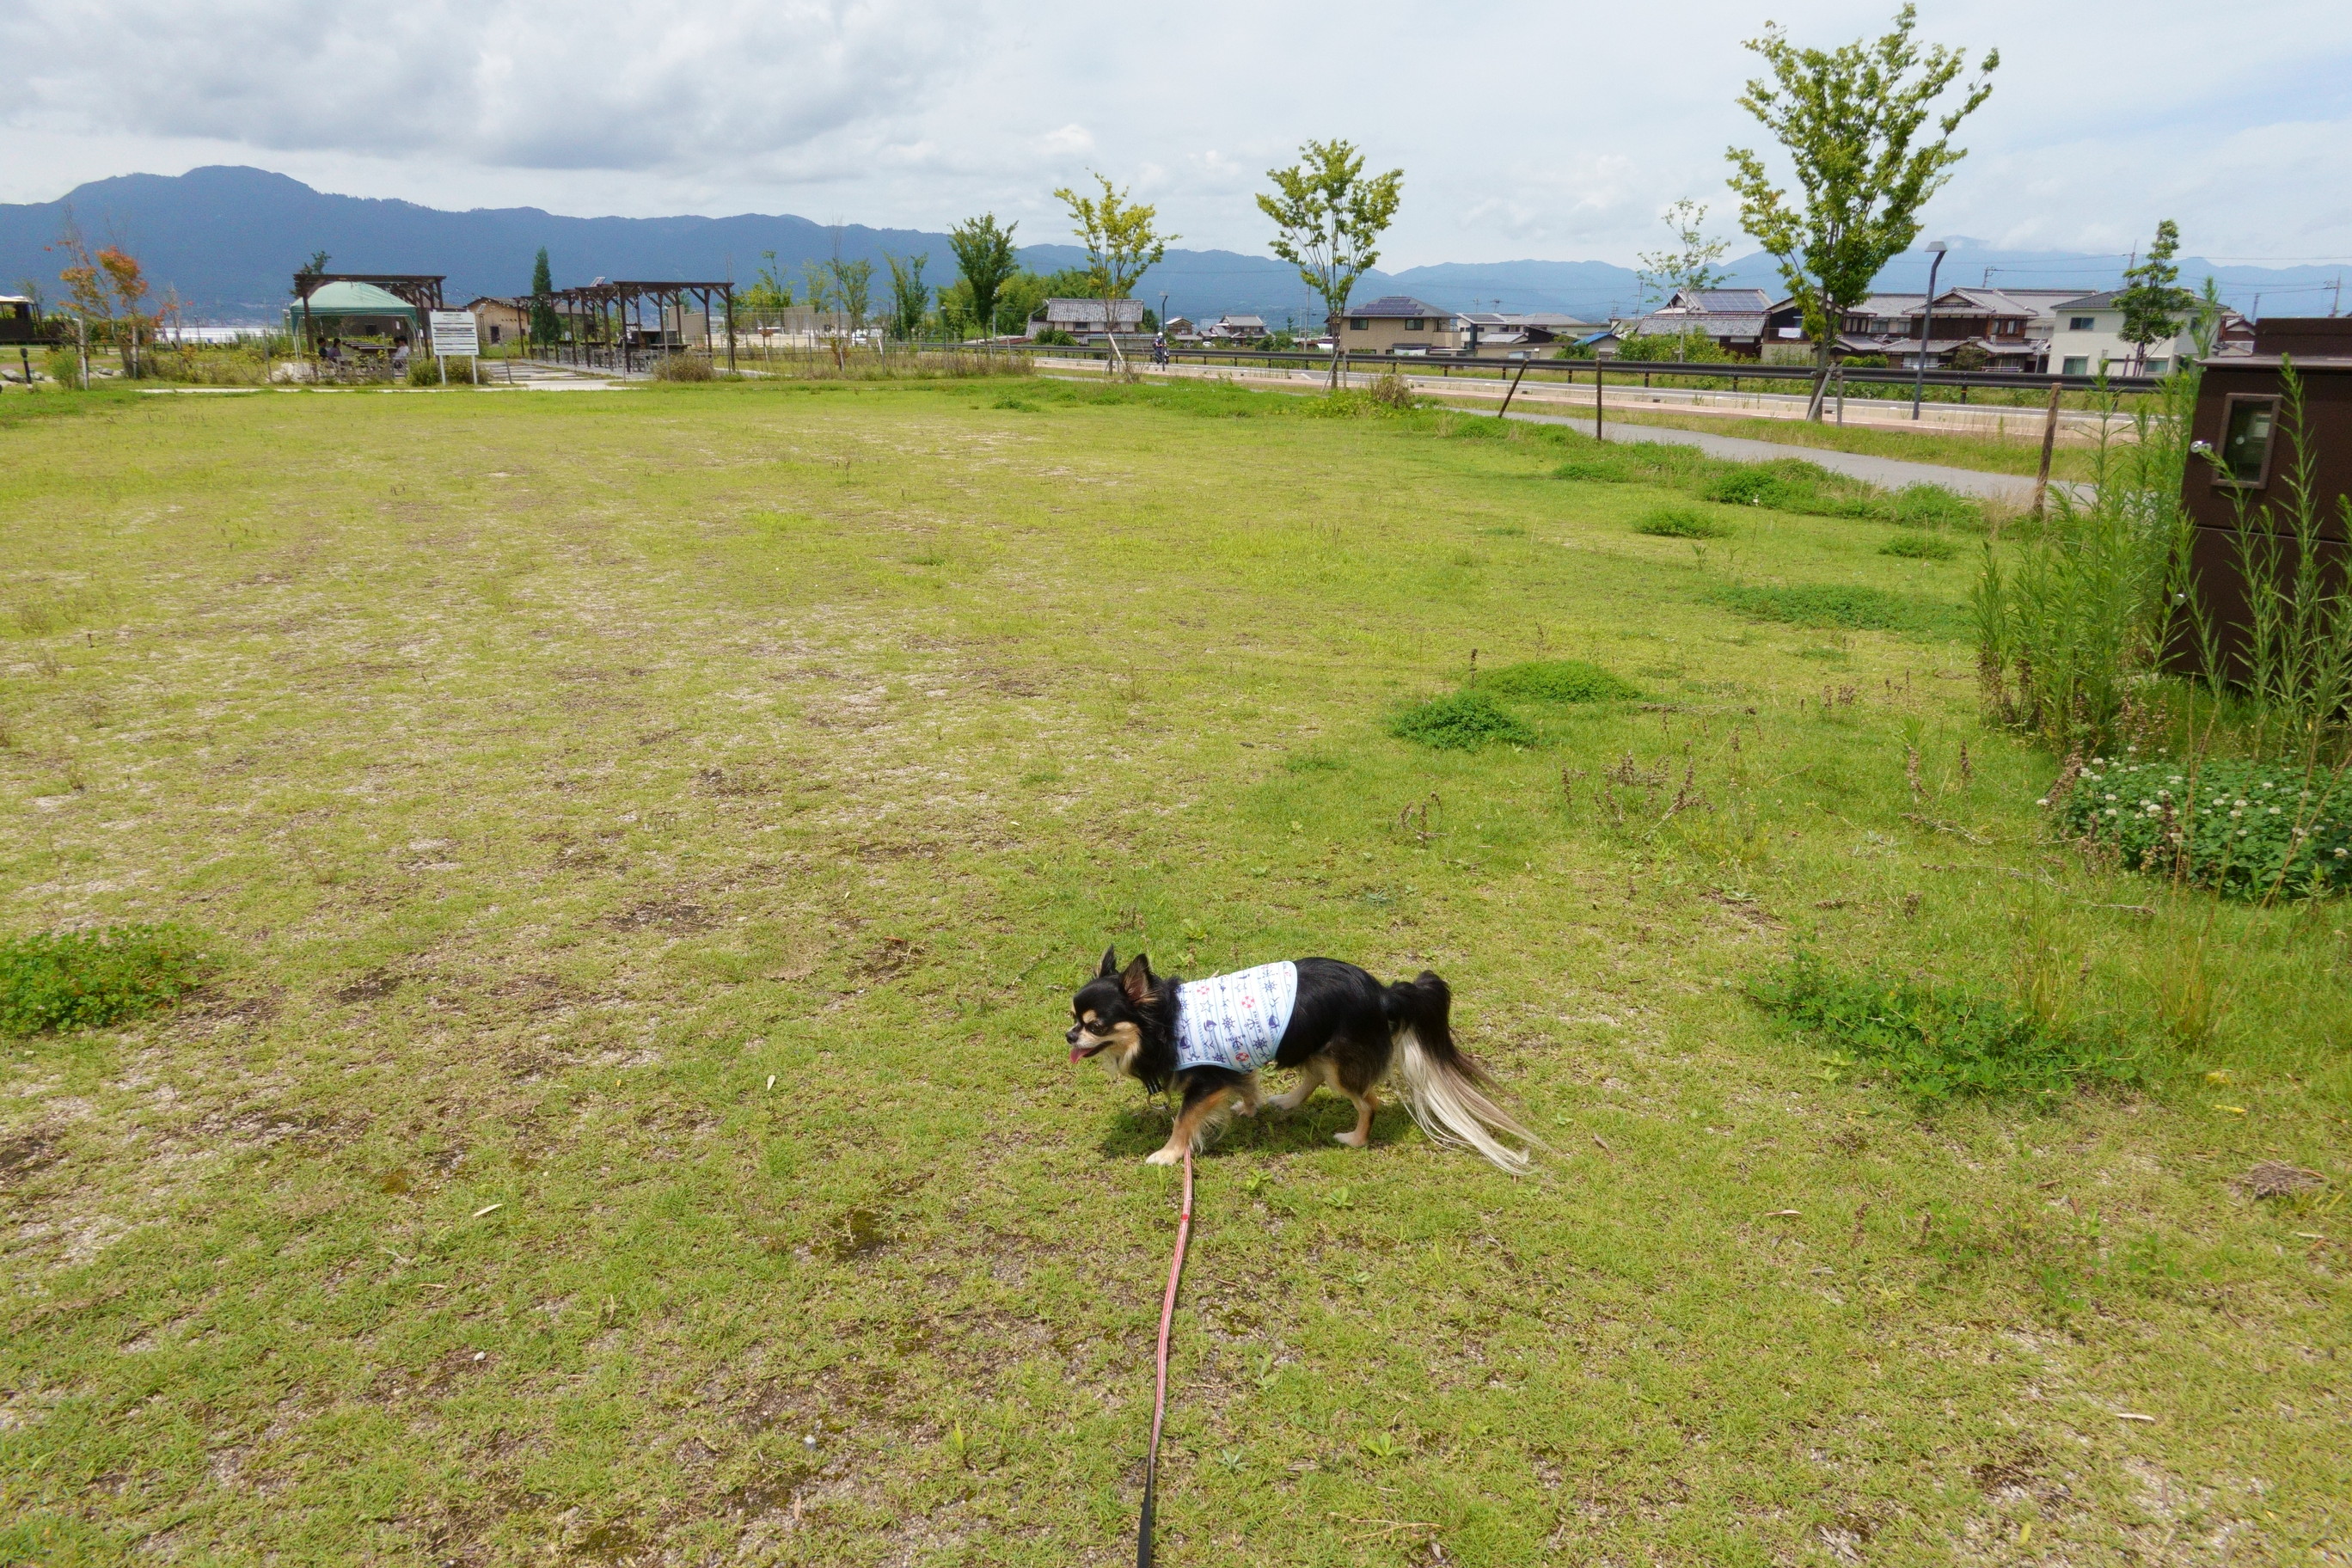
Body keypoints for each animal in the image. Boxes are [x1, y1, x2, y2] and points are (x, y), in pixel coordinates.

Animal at [1072, 945, 1542, 1175]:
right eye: (1073, 1018)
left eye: (1096, 1025)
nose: (1069, 1035)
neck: (1167, 1020)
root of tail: (1385, 994)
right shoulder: (1236, 1064)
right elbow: (1248, 1084)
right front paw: (1250, 1107)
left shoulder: (1208, 1079)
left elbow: (1184, 1121)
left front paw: (1168, 1155)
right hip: (1315, 1047)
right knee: (1312, 1078)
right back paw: (1288, 1102)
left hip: (1340, 1066)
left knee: (1368, 1101)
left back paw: (1355, 1139)